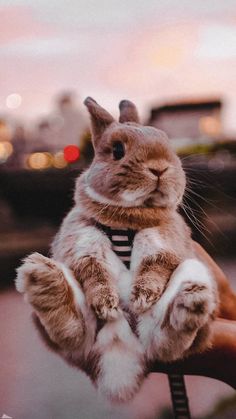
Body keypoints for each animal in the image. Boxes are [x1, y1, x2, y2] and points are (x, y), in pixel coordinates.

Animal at [15, 97, 218, 404]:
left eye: (167, 142)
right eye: (118, 150)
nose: (159, 168)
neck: (127, 221)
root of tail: (119, 365)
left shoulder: (165, 240)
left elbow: (156, 263)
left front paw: (142, 298)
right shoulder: (81, 239)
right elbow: (93, 271)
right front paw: (106, 305)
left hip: (193, 287)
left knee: (170, 342)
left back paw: (191, 302)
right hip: (62, 332)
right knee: (71, 332)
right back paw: (46, 283)